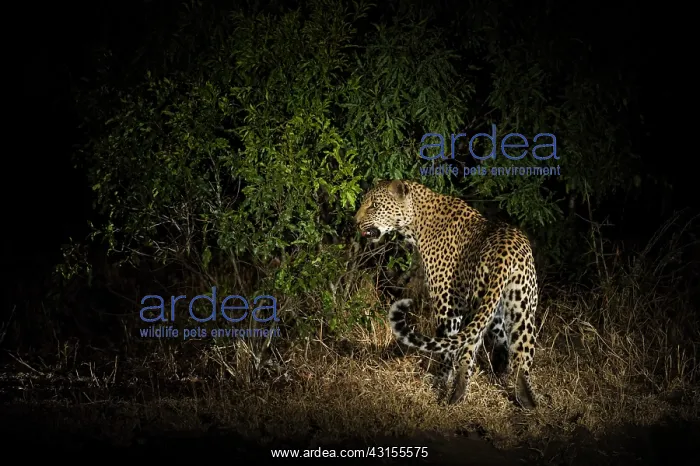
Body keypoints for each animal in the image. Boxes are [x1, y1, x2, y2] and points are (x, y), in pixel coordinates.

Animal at [354, 179, 539, 409]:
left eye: (374, 206)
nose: (355, 222)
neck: (415, 223)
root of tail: (506, 254)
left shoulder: (448, 303)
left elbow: (446, 346)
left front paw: (441, 379)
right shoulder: (493, 310)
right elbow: (500, 340)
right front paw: (499, 372)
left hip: (476, 304)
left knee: (467, 350)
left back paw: (454, 396)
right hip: (521, 306)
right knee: (522, 355)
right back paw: (527, 401)